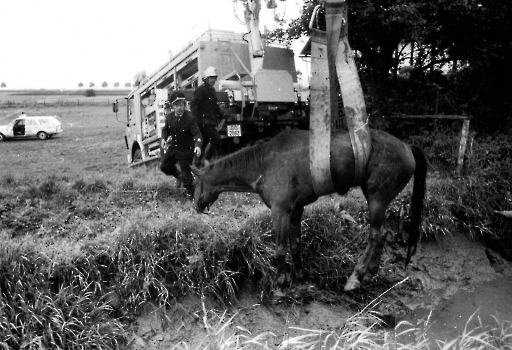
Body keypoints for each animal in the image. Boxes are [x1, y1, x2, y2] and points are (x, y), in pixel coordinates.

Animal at [190, 128, 426, 292]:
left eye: (195, 182)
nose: (196, 205)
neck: (264, 163)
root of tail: (407, 146)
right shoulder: (296, 211)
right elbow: (295, 245)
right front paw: (299, 275)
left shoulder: (281, 211)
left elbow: (280, 249)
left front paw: (279, 284)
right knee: (383, 234)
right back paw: (370, 272)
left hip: (376, 199)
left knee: (376, 235)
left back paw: (356, 277)